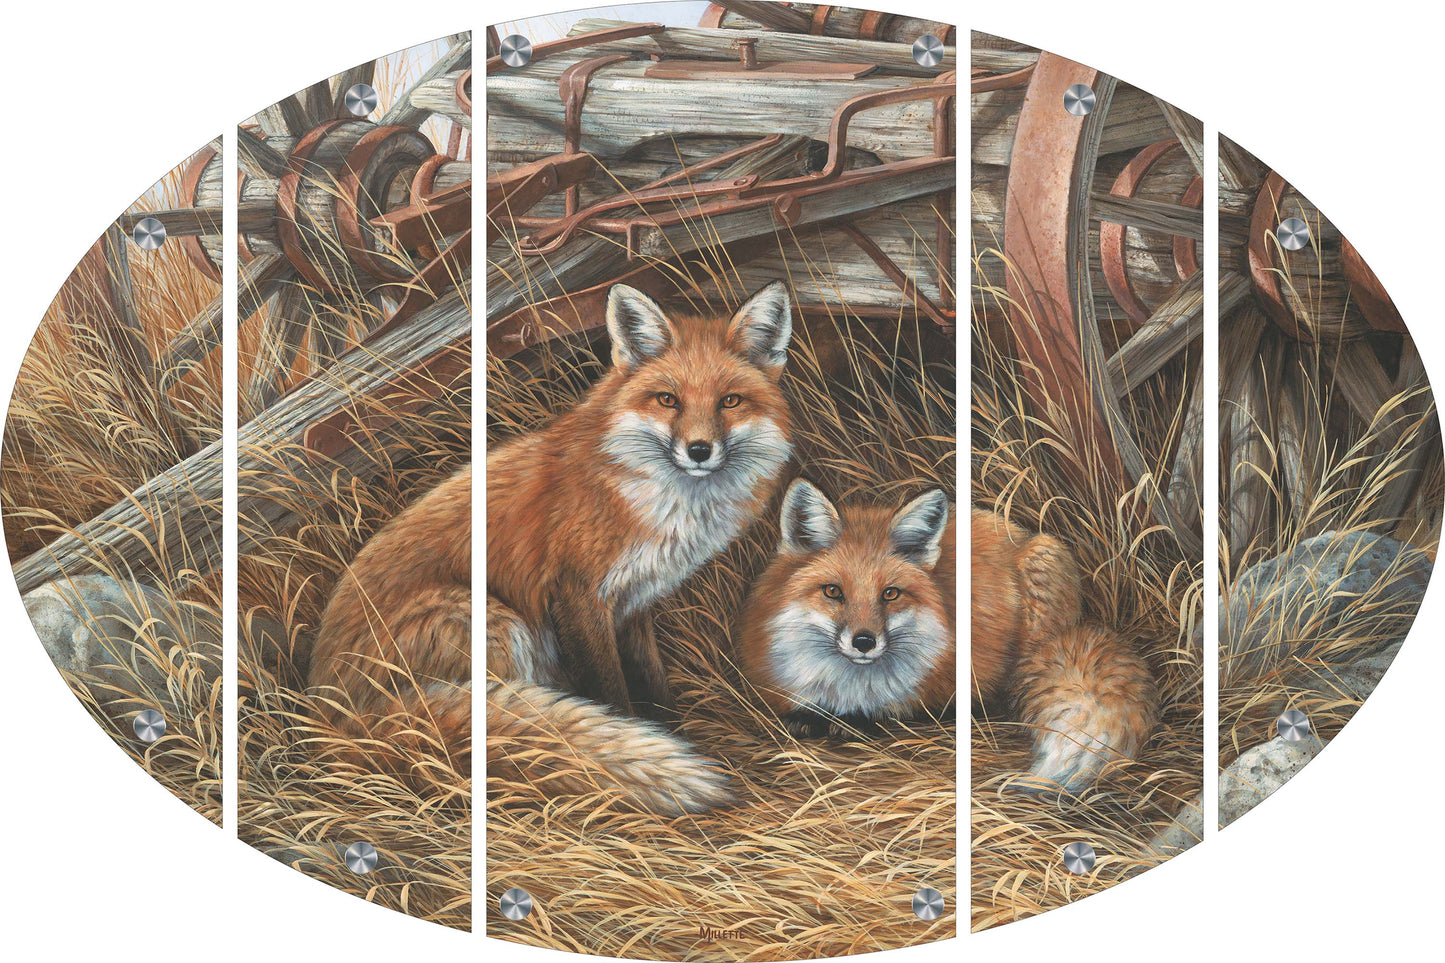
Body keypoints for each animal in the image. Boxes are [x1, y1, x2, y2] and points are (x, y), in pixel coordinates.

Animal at [486, 280, 795, 815]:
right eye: (668, 399)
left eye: (730, 401)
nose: (699, 450)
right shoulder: (580, 595)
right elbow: (611, 692)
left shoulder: (632, 601)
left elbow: (652, 679)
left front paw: (671, 733)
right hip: (502, 624)